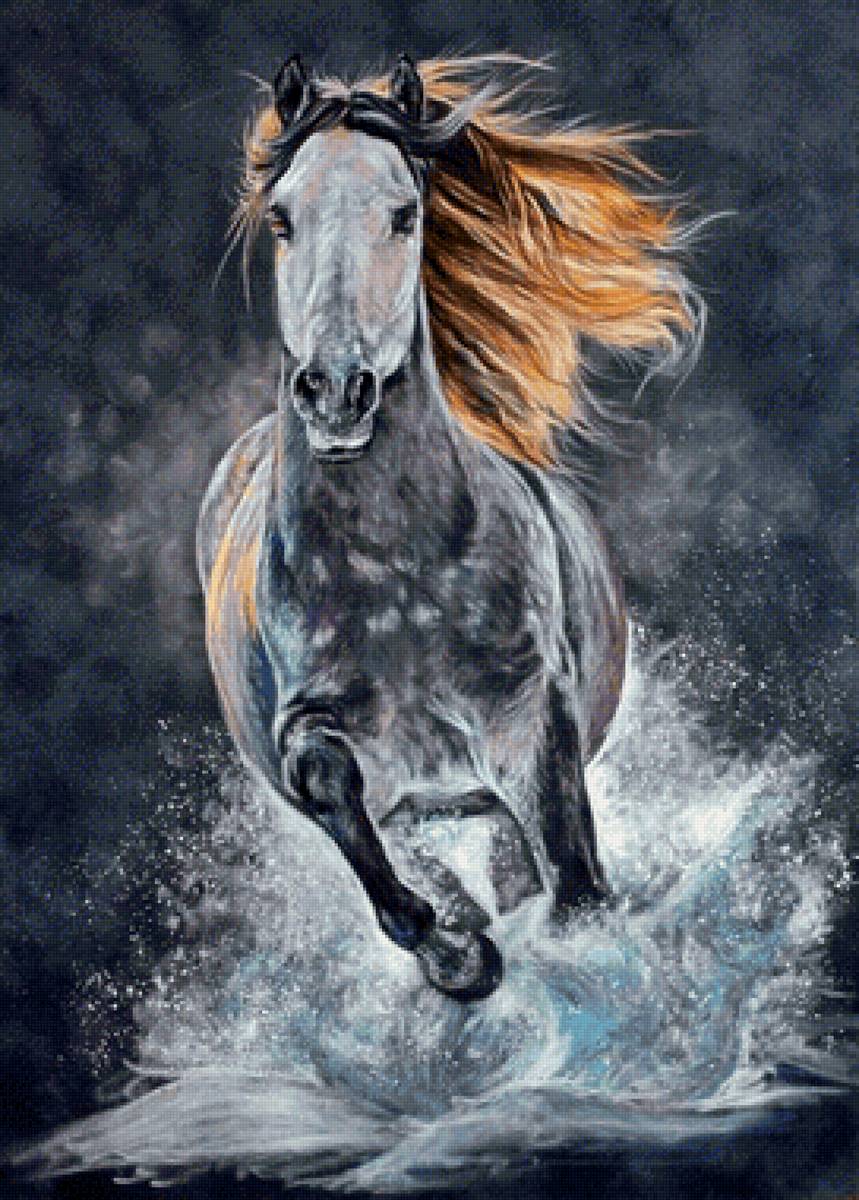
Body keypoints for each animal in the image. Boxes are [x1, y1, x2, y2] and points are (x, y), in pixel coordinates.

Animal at [197, 53, 702, 1000]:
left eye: (405, 213)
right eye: (283, 219)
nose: (336, 390)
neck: (396, 574)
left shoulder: (533, 719)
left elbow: (575, 884)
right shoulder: (316, 734)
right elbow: (342, 800)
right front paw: (460, 955)